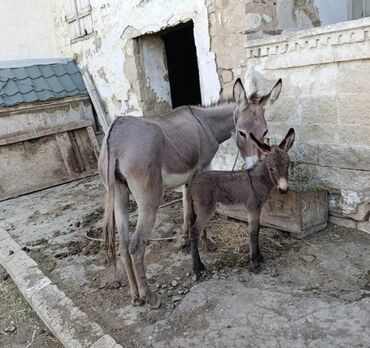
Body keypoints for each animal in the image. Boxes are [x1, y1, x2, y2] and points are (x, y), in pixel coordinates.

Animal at [188, 128, 294, 280]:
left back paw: (200, 265)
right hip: (206, 208)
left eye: (288, 165)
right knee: (194, 231)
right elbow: (253, 232)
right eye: (271, 168)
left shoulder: (258, 209)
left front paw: (260, 257)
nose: (283, 190)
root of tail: (192, 182)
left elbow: (258, 229)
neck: (258, 180)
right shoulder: (252, 208)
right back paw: (197, 270)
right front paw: (255, 262)